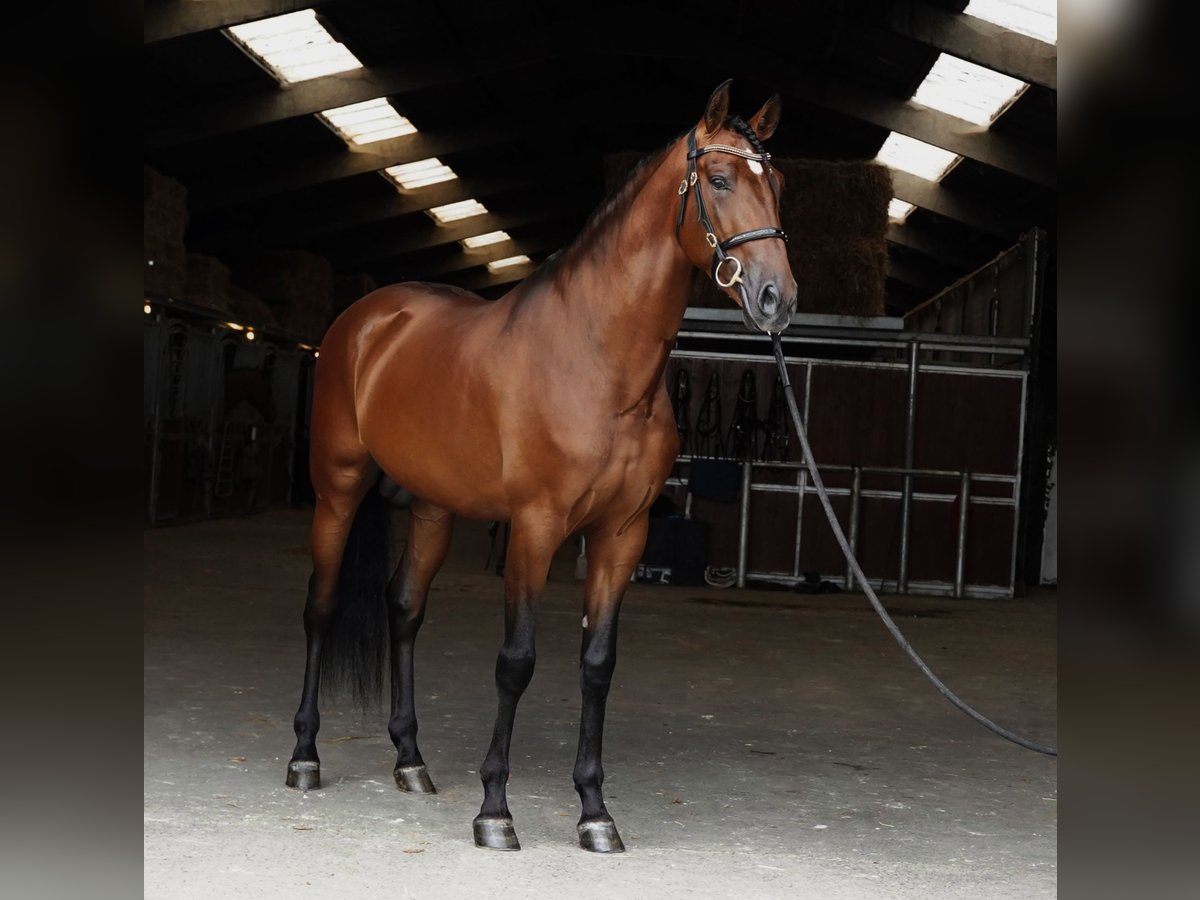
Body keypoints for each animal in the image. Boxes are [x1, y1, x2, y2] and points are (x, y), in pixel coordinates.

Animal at [286, 79, 796, 854]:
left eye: (781, 184)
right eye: (719, 179)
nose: (778, 299)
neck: (600, 362)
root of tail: (366, 318)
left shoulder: (622, 536)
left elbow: (597, 666)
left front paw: (595, 812)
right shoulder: (535, 528)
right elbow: (517, 661)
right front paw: (495, 811)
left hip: (434, 508)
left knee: (404, 609)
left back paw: (410, 760)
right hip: (338, 490)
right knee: (320, 607)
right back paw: (305, 756)